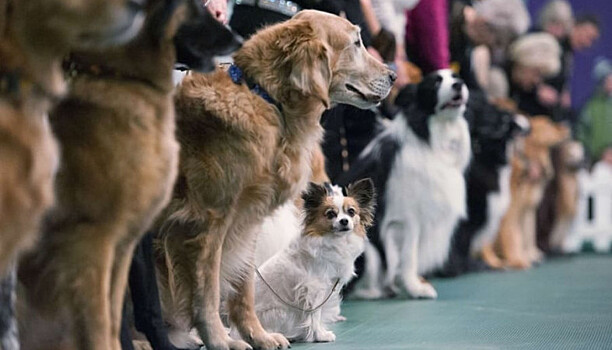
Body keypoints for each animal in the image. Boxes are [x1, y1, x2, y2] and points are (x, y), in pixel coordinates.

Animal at [152, 10, 392, 350]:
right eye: (356, 42)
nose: (394, 75)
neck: (263, 96)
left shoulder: (247, 221)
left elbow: (243, 291)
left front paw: (257, 335)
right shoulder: (205, 226)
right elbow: (208, 293)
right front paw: (219, 340)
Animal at [490, 116, 572, 270]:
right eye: (549, 124)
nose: (567, 124)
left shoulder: (528, 210)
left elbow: (527, 235)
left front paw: (529, 255)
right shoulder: (511, 212)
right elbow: (513, 236)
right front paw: (517, 260)